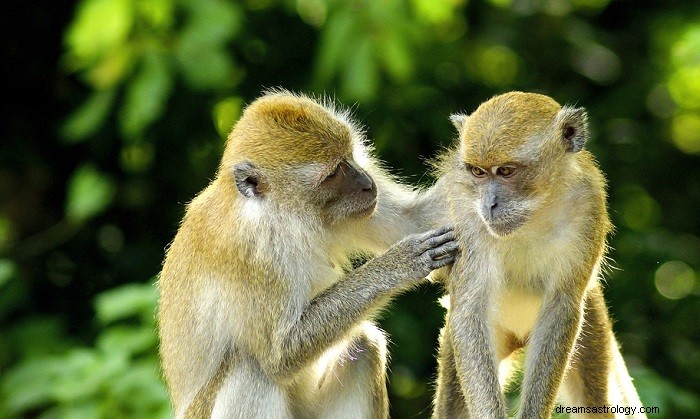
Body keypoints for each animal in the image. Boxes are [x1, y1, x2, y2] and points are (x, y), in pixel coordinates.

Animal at [156, 89, 456, 419]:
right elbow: (280, 355)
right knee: (252, 369)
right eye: (333, 173)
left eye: (349, 157)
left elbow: (415, 220)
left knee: (363, 345)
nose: (367, 184)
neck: (279, 215)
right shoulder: (251, 253)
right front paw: (401, 263)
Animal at [432, 92, 644, 419]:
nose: (489, 205)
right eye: (478, 172)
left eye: (506, 171)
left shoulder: (589, 205)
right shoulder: (466, 213)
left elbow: (561, 305)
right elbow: (469, 309)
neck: (537, 209)